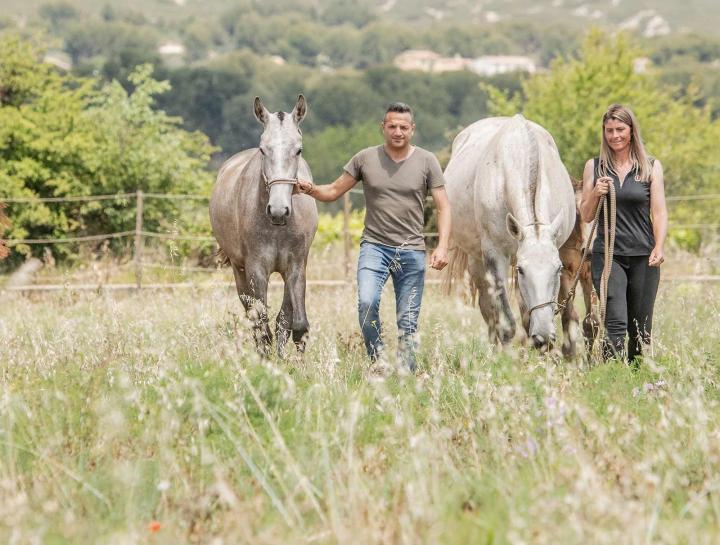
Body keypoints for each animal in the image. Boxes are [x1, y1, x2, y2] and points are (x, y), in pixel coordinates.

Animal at [209, 95, 318, 356]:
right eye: (262, 149)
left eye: (298, 150)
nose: (278, 210)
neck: (278, 228)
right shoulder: (256, 269)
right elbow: (262, 324)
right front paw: (268, 362)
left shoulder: (296, 266)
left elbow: (295, 324)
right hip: (238, 270)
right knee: (253, 317)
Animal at [444, 115, 576, 351]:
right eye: (522, 270)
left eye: (558, 268)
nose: (543, 337)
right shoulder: (495, 256)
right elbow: (505, 323)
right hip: (478, 264)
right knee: (489, 311)